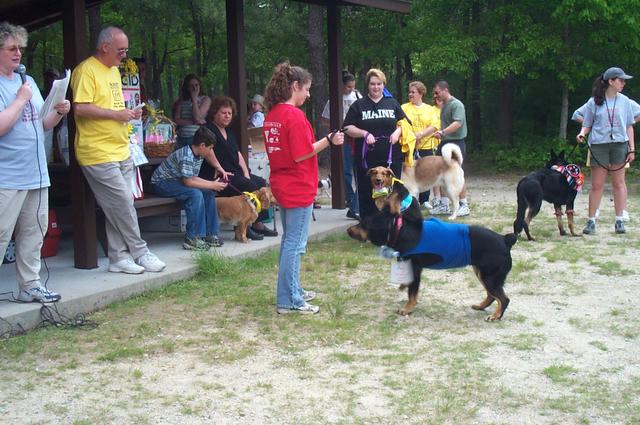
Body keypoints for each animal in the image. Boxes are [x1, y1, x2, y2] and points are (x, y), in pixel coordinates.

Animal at [347, 207, 517, 321]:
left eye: (363, 224)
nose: (348, 230)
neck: (400, 230)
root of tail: (505, 240)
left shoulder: (415, 268)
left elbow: (412, 293)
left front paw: (407, 309)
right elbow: (408, 286)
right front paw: (403, 287)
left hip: (489, 276)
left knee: (503, 299)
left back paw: (496, 316)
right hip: (483, 273)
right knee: (492, 295)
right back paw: (481, 307)